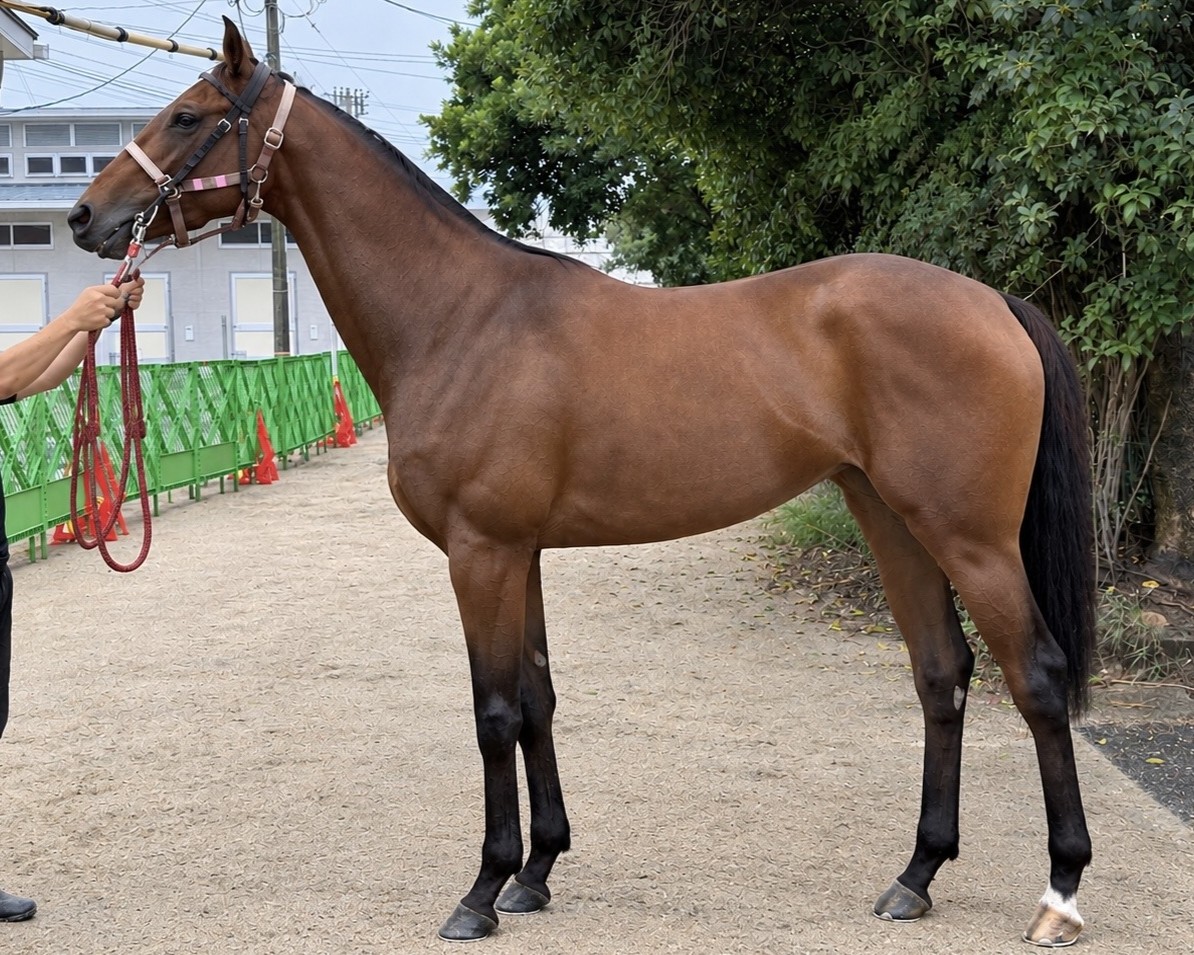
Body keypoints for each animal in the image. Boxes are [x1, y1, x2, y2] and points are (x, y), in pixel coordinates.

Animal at [69, 19, 1095, 948]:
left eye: (188, 114)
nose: (85, 217)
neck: (460, 317)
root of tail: (993, 300)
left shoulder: (480, 553)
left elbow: (491, 713)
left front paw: (481, 891)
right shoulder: (517, 552)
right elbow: (537, 700)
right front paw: (537, 872)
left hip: (970, 536)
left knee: (1036, 678)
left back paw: (1060, 894)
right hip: (890, 517)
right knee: (942, 674)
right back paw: (915, 875)